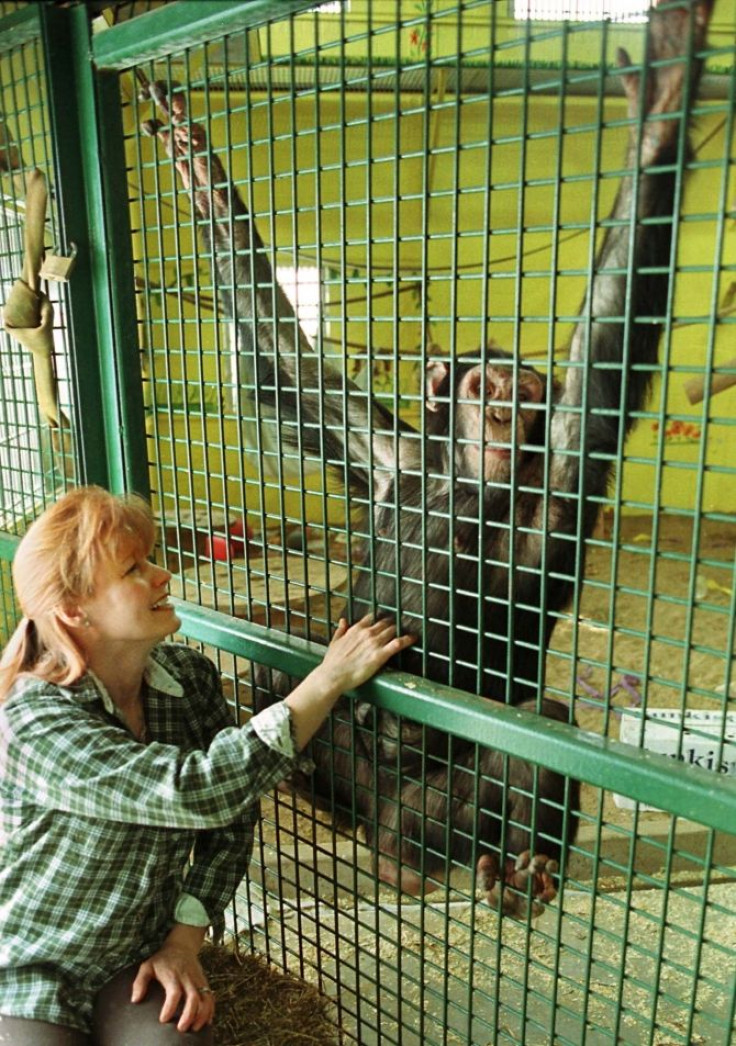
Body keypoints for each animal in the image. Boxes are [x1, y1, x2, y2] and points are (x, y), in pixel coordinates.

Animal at [142, 0, 710, 912]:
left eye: (530, 391)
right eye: (488, 383)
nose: (513, 403)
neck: (461, 483)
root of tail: (382, 834)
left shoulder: (550, 479)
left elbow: (602, 371)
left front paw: (660, 115)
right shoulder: (382, 448)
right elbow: (287, 359)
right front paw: (195, 165)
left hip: (434, 819)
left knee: (539, 728)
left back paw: (517, 869)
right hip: (347, 761)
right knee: (279, 656)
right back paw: (317, 800)